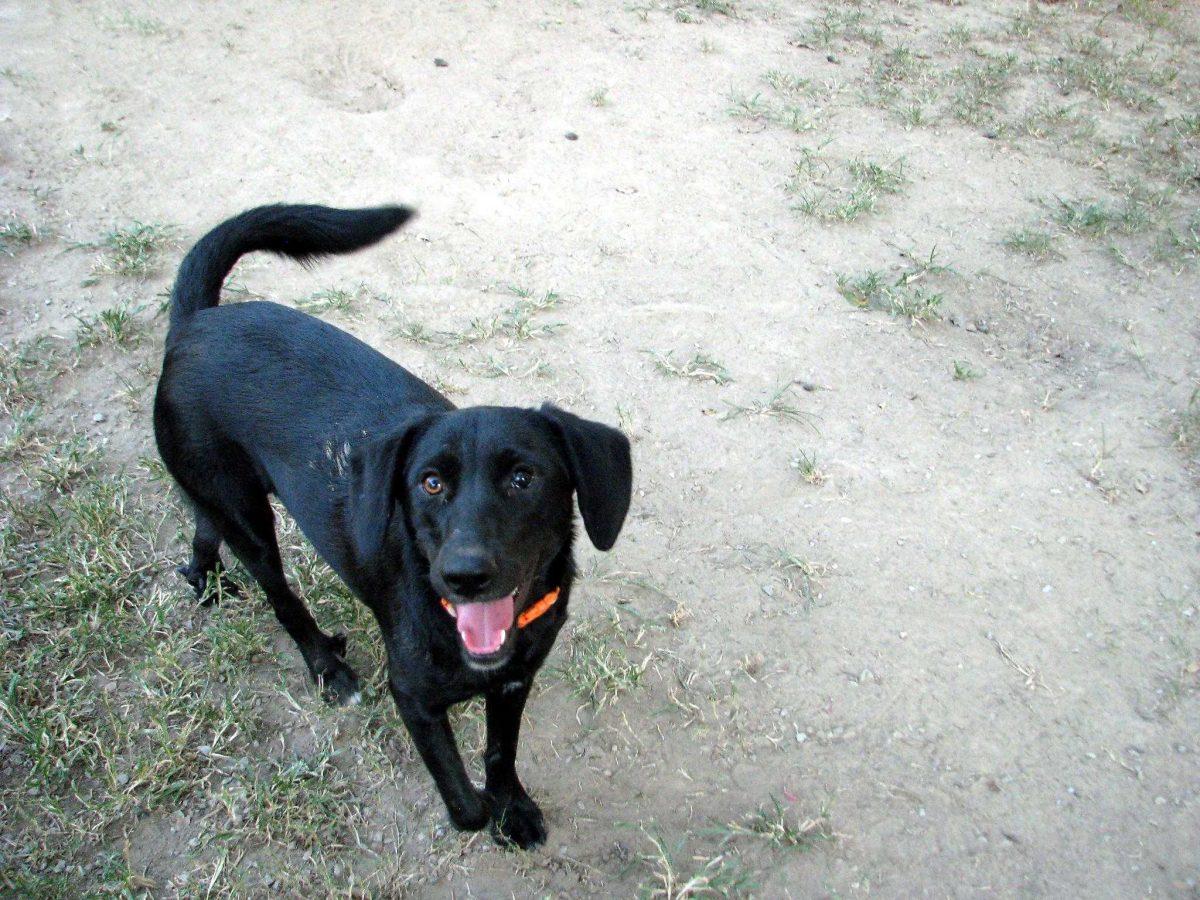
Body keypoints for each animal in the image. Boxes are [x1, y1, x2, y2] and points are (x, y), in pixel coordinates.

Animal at [154, 202, 633, 844]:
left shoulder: (514, 682)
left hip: (221, 492)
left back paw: (203, 576)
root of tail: (195, 324)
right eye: (429, 483)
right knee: (280, 596)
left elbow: (500, 754)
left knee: (204, 519)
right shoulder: (413, 698)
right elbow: (464, 800)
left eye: (523, 478)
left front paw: (512, 808)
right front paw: (480, 816)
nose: (464, 576)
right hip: (250, 520)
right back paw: (325, 665)